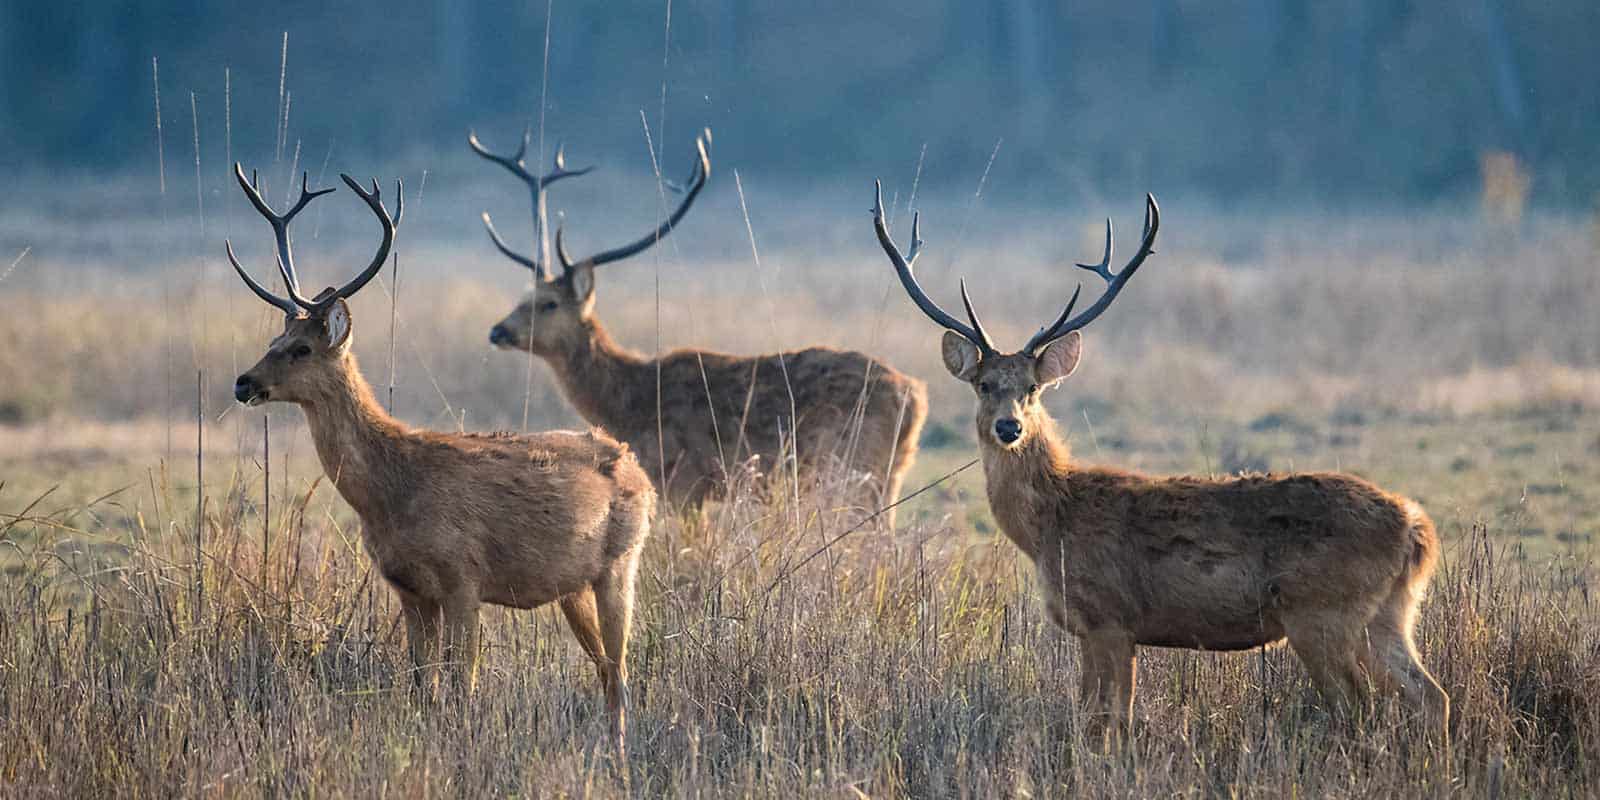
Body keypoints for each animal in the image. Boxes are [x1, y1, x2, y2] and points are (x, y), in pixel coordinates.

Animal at [225, 163, 654, 751]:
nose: (243, 382)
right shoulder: (409, 589)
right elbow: (420, 685)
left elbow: (461, 685)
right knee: (607, 669)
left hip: (621, 561)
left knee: (621, 669)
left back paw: (620, 750)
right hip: (573, 585)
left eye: (302, 348)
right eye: (273, 338)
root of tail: (639, 469)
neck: (393, 490)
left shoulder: (463, 578)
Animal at [473, 130, 928, 525]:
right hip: (888, 472)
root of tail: (914, 397)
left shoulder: (684, 480)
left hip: (852, 464)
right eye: (524, 294)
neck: (630, 404)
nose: (497, 331)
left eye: (549, 304)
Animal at [869, 182, 1449, 738]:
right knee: (1432, 695)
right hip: (1388, 613)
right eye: (984, 384)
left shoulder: (1110, 616)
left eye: (1032, 388)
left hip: (1321, 611)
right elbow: (1094, 714)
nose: (1008, 427)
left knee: (1358, 705)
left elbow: (1109, 720)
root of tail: (1416, 527)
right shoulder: (1095, 627)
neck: (1049, 526)